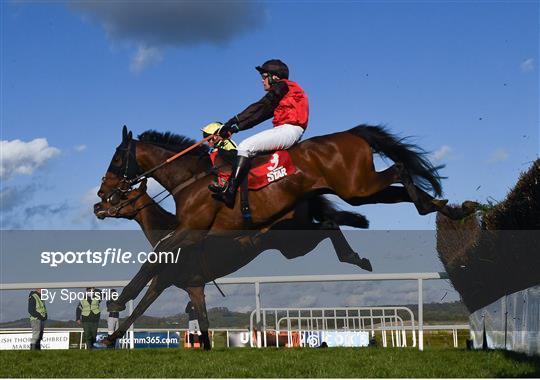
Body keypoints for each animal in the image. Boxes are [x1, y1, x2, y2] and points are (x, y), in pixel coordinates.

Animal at [99, 178, 370, 348]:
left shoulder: (163, 278)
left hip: (293, 244)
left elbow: (139, 301)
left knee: (329, 225)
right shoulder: (190, 285)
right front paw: (112, 337)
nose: (97, 206)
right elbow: (198, 318)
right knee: (329, 222)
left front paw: (113, 319)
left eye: (123, 194)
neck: (170, 233)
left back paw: (356, 257)